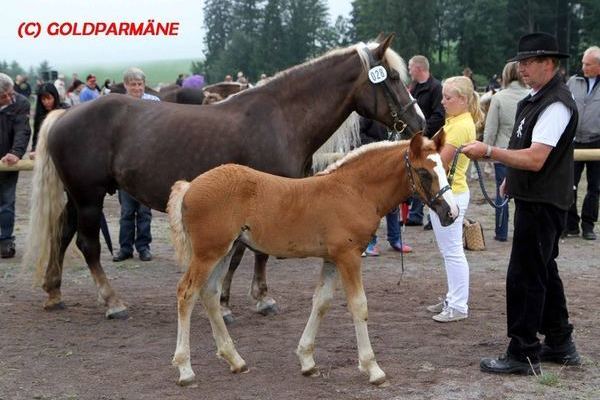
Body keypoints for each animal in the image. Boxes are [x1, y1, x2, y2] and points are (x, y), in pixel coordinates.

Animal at [25, 34, 424, 322]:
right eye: (391, 78)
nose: (418, 121)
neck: (281, 118)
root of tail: (64, 114)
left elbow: (242, 252)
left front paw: (234, 299)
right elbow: (252, 253)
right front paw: (254, 299)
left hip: (78, 198)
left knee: (62, 236)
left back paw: (54, 292)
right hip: (89, 197)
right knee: (87, 245)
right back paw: (112, 303)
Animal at [166, 133, 458, 386]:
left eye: (445, 168)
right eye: (423, 172)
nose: (451, 213)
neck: (355, 190)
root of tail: (190, 186)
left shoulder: (332, 259)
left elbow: (321, 302)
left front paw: (307, 361)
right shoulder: (349, 257)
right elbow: (359, 306)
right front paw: (373, 368)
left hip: (224, 251)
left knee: (210, 294)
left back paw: (235, 360)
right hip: (208, 253)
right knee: (186, 293)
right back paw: (185, 369)